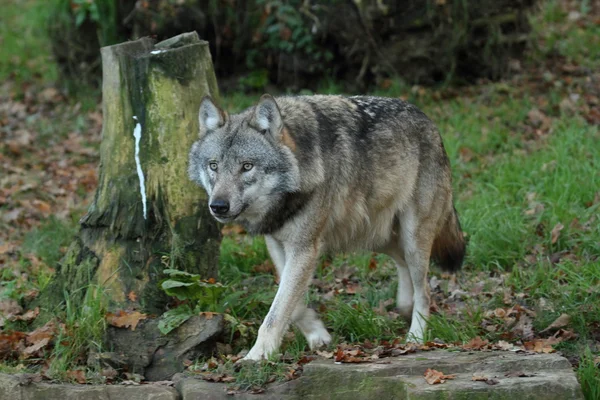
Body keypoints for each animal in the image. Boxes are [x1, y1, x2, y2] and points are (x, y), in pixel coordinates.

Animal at [188, 94, 464, 362]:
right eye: (213, 165)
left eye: (247, 166)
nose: (218, 206)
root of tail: (429, 122)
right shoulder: (277, 244)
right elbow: (292, 303)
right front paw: (317, 334)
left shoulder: (304, 248)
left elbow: (277, 311)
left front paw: (257, 356)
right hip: (378, 237)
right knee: (404, 267)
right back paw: (404, 307)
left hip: (411, 237)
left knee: (425, 291)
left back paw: (415, 337)